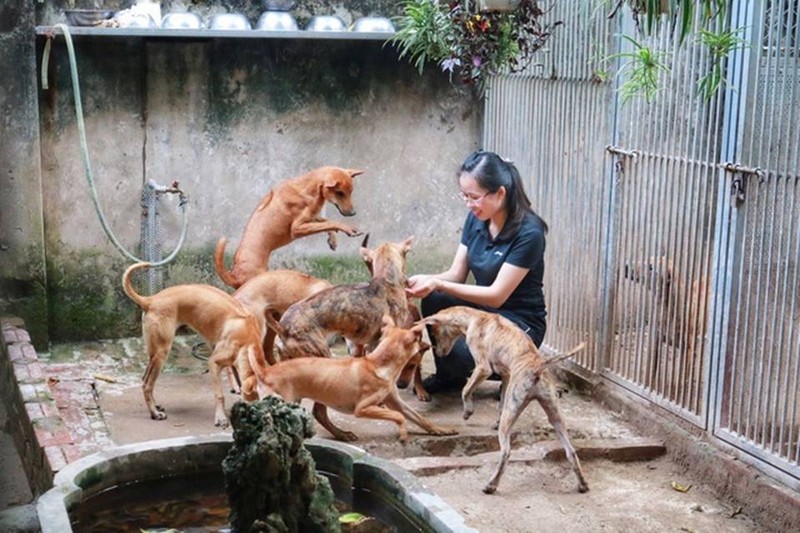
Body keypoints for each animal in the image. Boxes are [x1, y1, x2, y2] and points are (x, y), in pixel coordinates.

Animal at [121, 262, 266, 428]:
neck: (247, 337)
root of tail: (150, 300)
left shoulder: (235, 365)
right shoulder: (213, 362)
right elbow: (219, 395)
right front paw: (221, 417)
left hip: (154, 354)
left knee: (144, 378)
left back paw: (156, 405)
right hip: (161, 353)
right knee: (147, 385)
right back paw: (154, 413)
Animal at [212, 167, 362, 288]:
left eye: (351, 192)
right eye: (340, 193)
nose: (353, 213)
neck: (306, 189)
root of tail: (234, 275)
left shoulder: (311, 217)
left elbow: (326, 221)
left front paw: (333, 239)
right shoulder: (297, 229)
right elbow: (329, 222)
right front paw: (348, 229)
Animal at [256, 316, 456, 440]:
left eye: (412, 366)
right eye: (418, 339)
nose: (427, 344)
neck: (378, 365)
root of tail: (265, 372)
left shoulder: (396, 402)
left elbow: (421, 419)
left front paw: (441, 430)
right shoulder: (363, 408)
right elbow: (399, 417)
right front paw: (403, 433)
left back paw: (341, 434)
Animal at [418, 306, 588, 496]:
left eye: (433, 334)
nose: (439, 353)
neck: (475, 317)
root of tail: (537, 367)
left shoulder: (483, 368)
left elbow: (465, 390)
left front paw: (467, 412)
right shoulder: (506, 375)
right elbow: (500, 402)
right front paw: (493, 419)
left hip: (514, 411)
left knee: (506, 452)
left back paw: (491, 485)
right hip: (554, 414)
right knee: (571, 451)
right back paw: (582, 484)